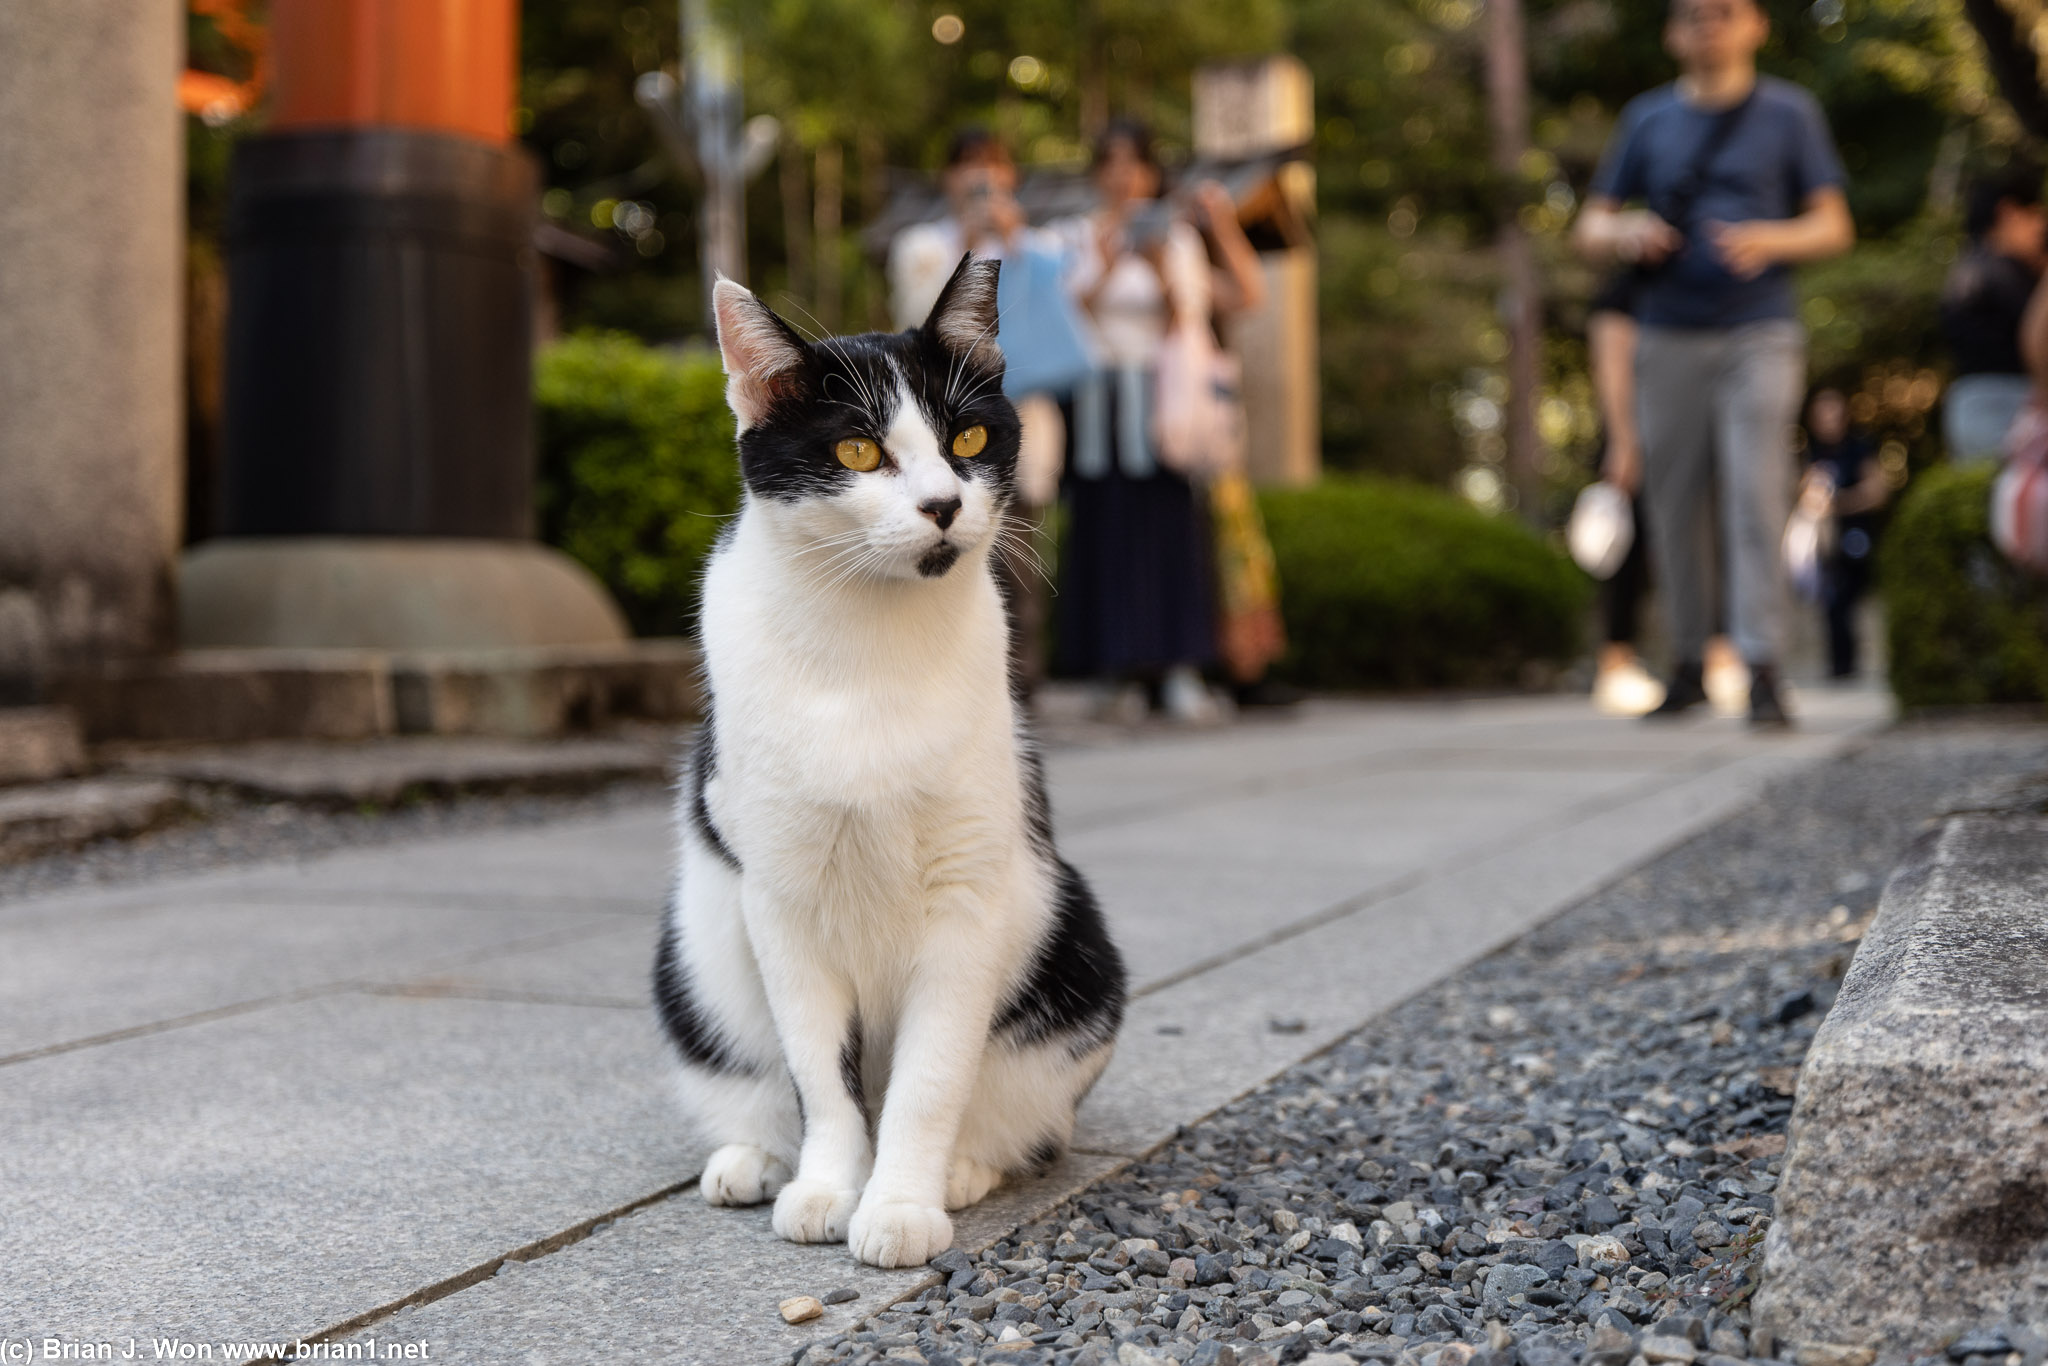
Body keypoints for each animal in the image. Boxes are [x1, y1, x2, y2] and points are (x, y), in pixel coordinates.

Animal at [655, 259, 1130, 1269]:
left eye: (970, 437)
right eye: (859, 453)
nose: (943, 505)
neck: (866, 651)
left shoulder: (968, 896)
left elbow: (928, 1078)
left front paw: (902, 1203)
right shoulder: (779, 900)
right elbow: (821, 1079)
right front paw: (830, 1189)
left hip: (1074, 948)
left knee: (1023, 1110)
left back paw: (964, 1168)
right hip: (698, 957)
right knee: (755, 1077)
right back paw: (754, 1161)